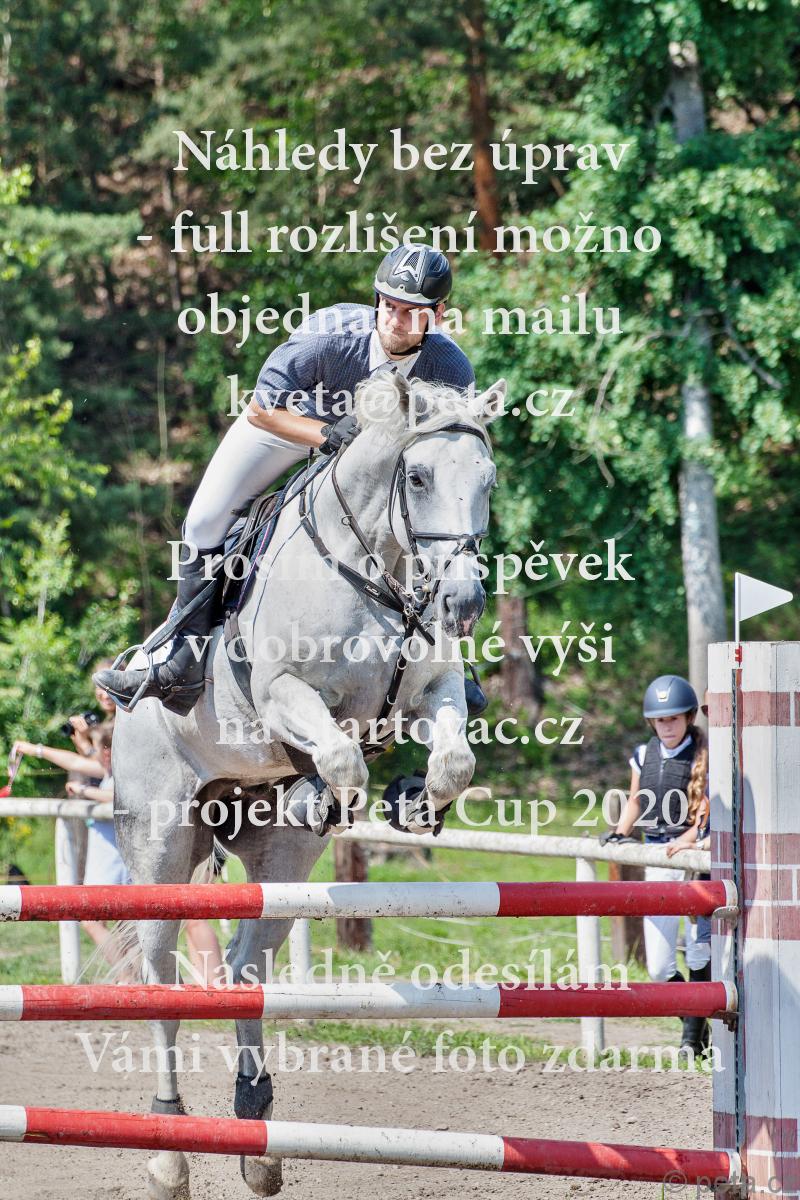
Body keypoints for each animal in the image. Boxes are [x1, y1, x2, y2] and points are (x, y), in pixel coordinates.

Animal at [110, 371, 505, 1199]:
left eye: (487, 479)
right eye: (418, 478)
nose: (462, 604)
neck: (382, 573)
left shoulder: (434, 691)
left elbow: (452, 762)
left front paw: (412, 802)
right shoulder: (285, 695)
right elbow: (344, 756)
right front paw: (337, 793)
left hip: (282, 862)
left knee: (245, 967)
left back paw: (256, 1132)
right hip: (161, 845)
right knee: (160, 974)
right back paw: (168, 1149)